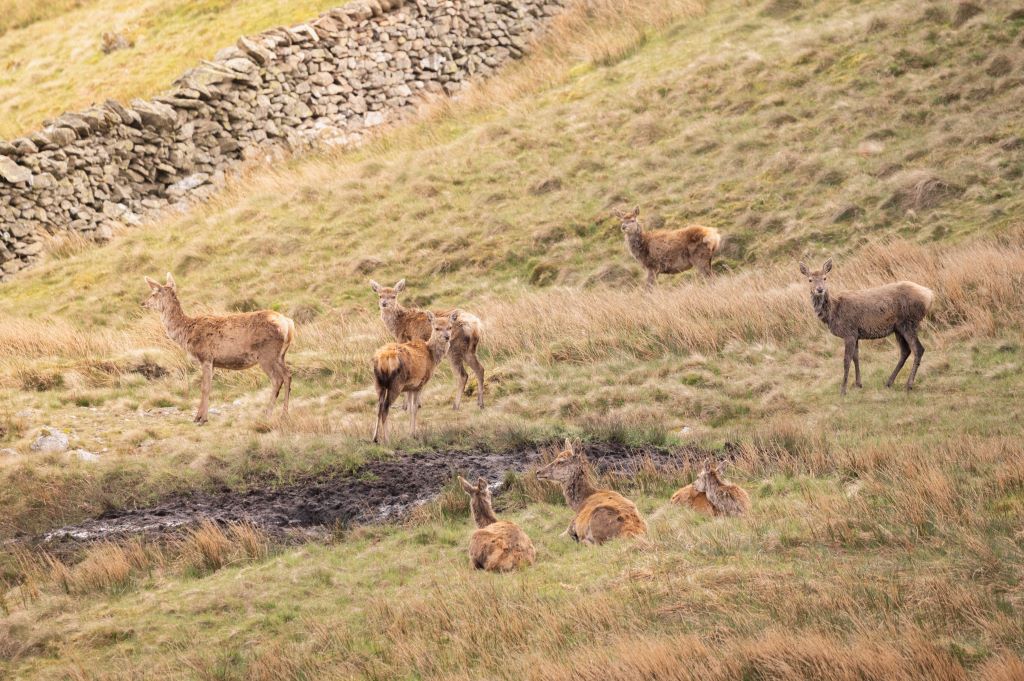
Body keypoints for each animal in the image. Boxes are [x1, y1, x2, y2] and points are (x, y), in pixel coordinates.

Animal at [142, 273, 294, 424]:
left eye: (154, 293)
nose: (143, 303)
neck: (186, 333)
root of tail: (288, 324)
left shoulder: (206, 357)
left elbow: (204, 388)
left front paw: (200, 418)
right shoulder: (213, 362)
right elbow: (208, 387)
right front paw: (201, 416)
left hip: (267, 354)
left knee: (277, 379)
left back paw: (267, 414)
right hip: (280, 355)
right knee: (288, 375)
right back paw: (284, 414)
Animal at [369, 279, 485, 410]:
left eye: (393, 296)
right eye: (380, 295)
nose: (384, 304)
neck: (399, 326)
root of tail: (475, 326)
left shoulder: (405, 343)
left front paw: (406, 406)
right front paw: (415, 403)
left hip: (453, 349)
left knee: (462, 375)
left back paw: (456, 405)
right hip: (470, 349)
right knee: (480, 369)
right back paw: (480, 403)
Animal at [371, 311, 456, 443]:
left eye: (450, 327)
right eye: (437, 328)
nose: (447, 337)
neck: (432, 357)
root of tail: (383, 360)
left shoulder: (409, 387)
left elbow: (410, 409)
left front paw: (409, 433)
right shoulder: (419, 384)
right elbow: (415, 408)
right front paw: (413, 434)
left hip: (378, 383)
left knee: (378, 407)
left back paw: (375, 438)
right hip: (396, 384)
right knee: (385, 408)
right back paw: (387, 439)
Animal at [799, 258, 935, 395]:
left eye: (825, 278)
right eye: (810, 279)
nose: (820, 289)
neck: (833, 312)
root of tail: (930, 295)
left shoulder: (849, 332)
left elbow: (846, 360)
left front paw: (843, 390)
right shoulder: (856, 334)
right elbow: (856, 357)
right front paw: (858, 384)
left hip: (908, 323)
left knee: (918, 349)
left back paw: (908, 385)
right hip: (898, 328)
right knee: (905, 351)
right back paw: (889, 382)